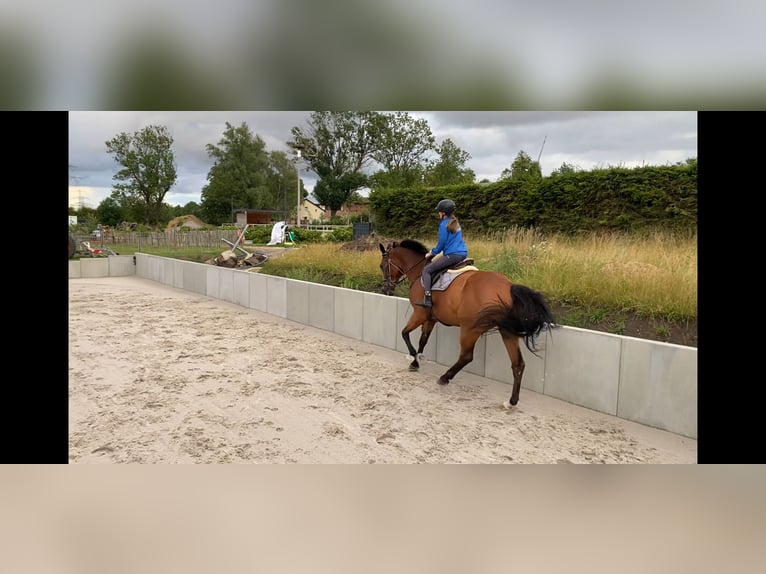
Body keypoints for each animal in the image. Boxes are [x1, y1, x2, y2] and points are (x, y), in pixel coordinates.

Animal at [379, 239, 557, 408]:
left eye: (382, 266)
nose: (386, 289)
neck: (420, 273)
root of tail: (508, 287)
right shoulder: (430, 318)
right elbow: (423, 339)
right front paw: (417, 358)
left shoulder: (419, 314)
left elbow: (404, 333)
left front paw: (414, 360)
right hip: (507, 331)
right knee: (518, 364)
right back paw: (511, 402)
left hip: (470, 329)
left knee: (466, 356)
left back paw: (445, 377)